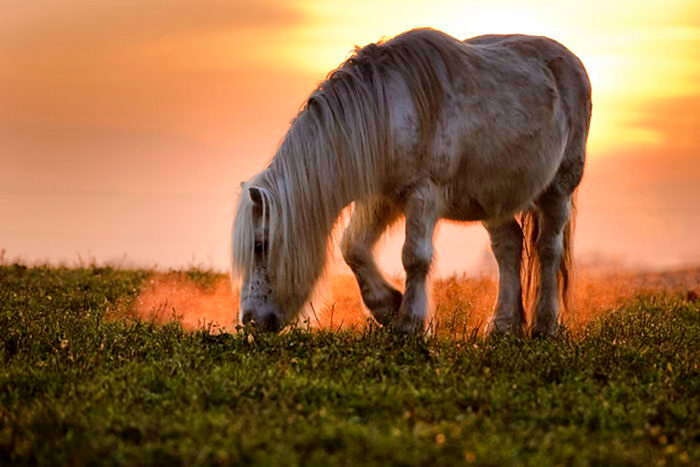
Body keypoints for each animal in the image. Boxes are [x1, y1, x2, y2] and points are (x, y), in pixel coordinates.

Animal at [234, 28, 592, 336]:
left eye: (260, 245)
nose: (250, 320)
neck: (386, 112)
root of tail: (570, 61)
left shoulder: (422, 194)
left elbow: (414, 256)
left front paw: (410, 322)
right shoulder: (380, 199)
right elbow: (353, 248)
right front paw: (388, 307)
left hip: (559, 189)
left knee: (548, 249)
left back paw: (544, 326)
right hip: (494, 198)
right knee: (508, 247)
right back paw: (503, 327)